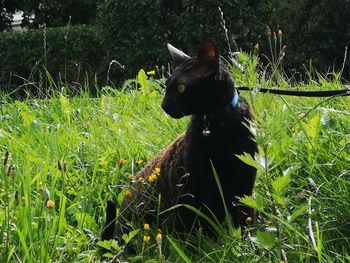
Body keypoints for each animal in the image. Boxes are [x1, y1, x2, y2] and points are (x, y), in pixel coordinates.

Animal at [101, 40, 258, 241]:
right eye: (167, 86)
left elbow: (246, 221)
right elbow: (189, 231)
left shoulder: (245, 185)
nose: (164, 105)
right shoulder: (187, 189)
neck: (218, 126)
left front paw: (249, 243)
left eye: (181, 88)